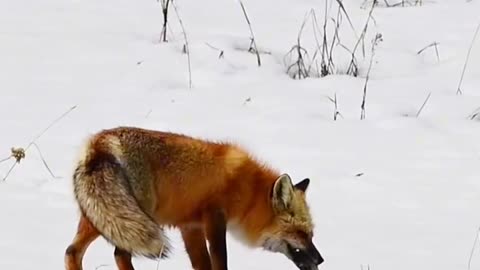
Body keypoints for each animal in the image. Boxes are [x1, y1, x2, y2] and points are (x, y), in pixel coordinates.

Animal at [64, 126, 322, 270]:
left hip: (102, 218)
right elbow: (220, 262)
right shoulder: (214, 217)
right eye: (300, 233)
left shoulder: (190, 226)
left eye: (311, 234)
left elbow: (202, 264)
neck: (247, 190)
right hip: (131, 219)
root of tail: (99, 143)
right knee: (120, 254)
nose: (320, 260)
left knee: (72, 252)